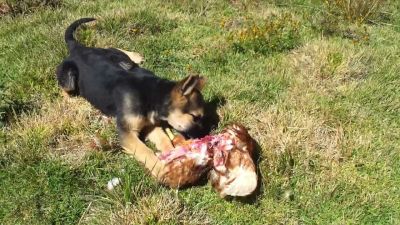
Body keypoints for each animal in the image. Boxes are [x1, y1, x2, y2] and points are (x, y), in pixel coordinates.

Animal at [57, 17, 206, 179]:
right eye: (195, 117)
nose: (203, 136)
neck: (153, 94)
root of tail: (78, 49)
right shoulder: (127, 134)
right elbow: (145, 151)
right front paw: (161, 169)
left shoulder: (150, 125)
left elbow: (163, 138)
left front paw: (171, 153)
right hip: (68, 77)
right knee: (65, 89)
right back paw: (70, 99)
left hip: (117, 58)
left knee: (113, 49)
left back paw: (135, 55)